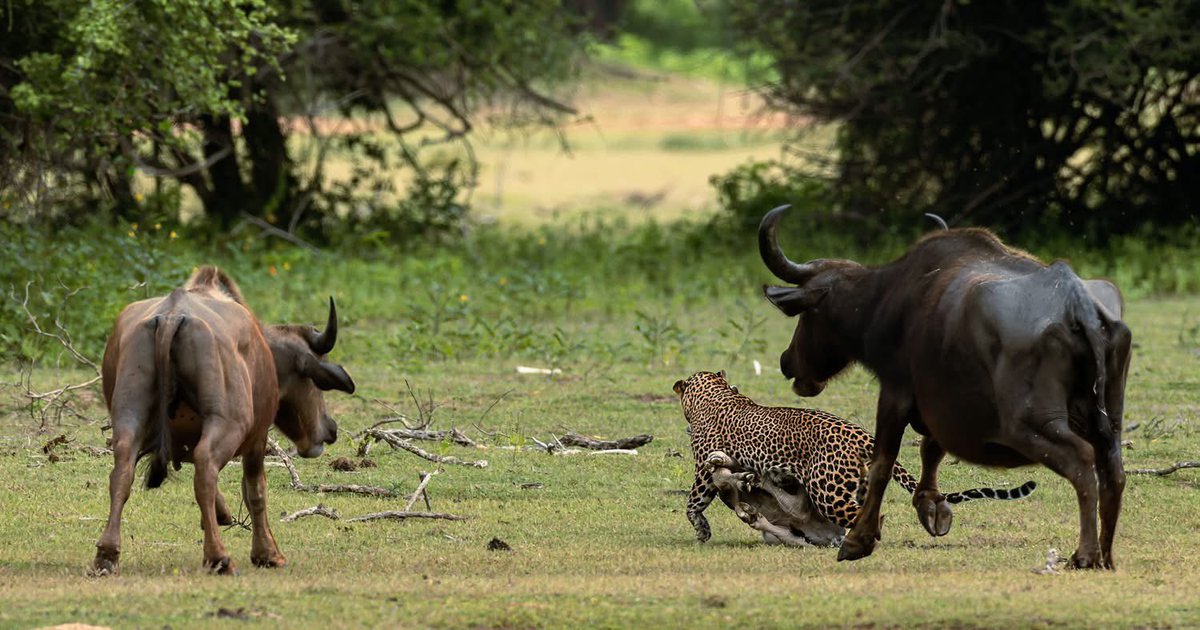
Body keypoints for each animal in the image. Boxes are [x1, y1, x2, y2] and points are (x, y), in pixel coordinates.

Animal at [674, 370, 1037, 544]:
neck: (714, 393)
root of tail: (861, 434)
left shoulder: (703, 470)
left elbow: (694, 500)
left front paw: (701, 529)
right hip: (851, 485)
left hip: (828, 492)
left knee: (865, 517)